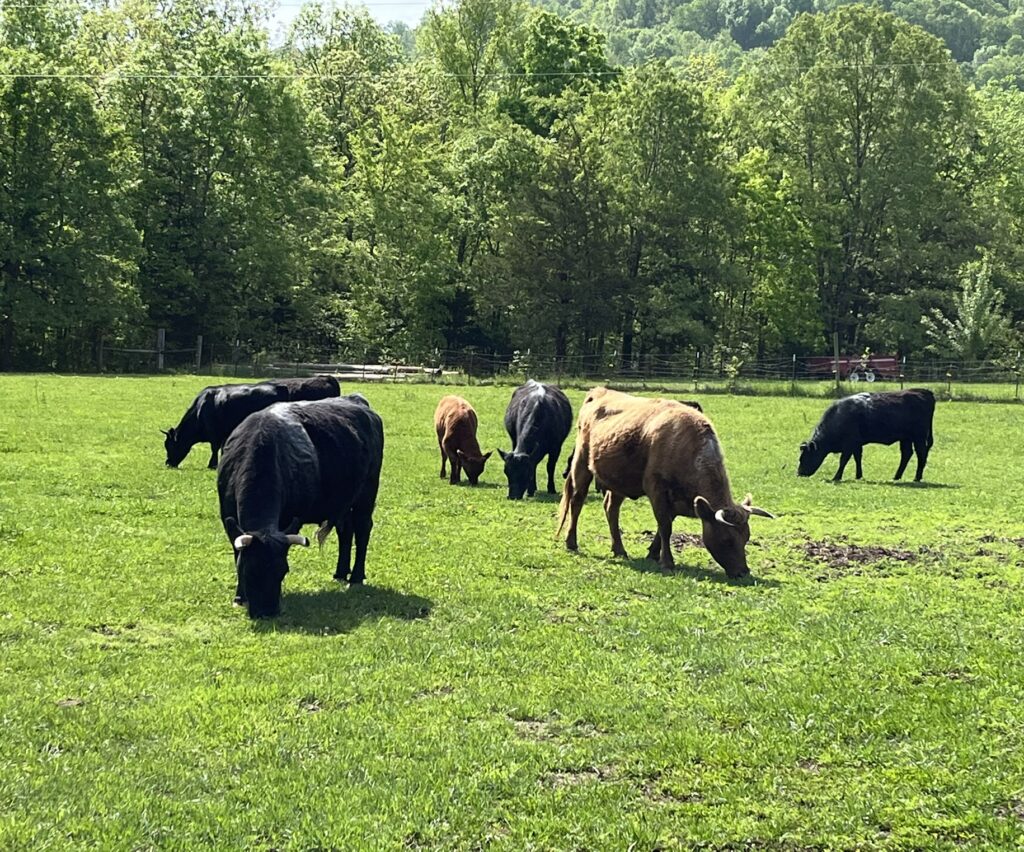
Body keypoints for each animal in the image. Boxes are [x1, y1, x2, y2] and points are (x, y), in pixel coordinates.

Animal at [162, 375, 341, 469]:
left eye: (169, 445)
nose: (168, 463)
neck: (201, 408)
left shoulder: (215, 432)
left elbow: (214, 448)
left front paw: (213, 465)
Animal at [217, 394, 383, 619]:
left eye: (283, 571)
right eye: (248, 571)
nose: (267, 612)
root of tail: (356, 400)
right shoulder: (228, 518)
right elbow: (237, 553)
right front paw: (239, 597)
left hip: (367, 493)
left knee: (363, 529)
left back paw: (356, 577)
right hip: (342, 502)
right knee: (346, 530)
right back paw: (340, 573)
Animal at [558, 387, 773, 578]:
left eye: (746, 537)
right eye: (727, 539)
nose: (743, 572)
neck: (687, 447)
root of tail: (599, 391)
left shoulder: (679, 500)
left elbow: (663, 528)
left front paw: (653, 553)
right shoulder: (657, 490)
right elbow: (665, 526)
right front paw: (667, 562)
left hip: (618, 481)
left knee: (611, 509)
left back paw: (619, 549)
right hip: (581, 464)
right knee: (577, 501)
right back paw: (571, 542)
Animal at [797, 389, 936, 482]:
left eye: (805, 457)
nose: (799, 473)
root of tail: (924, 392)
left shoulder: (849, 444)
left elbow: (843, 460)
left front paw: (836, 477)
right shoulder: (856, 444)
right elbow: (857, 458)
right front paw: (858, 476)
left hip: (919, 437)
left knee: (921, 454)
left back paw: (917, 477)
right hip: (906, 438)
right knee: (907, 454)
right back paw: (896, 477)